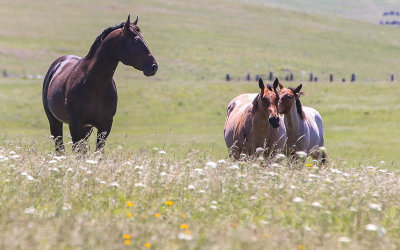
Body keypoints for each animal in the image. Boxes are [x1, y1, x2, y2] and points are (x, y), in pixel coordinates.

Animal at [42, 16, 157, 152]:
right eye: (135, 40)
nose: (154, 67)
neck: (93, 83)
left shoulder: (105, 124)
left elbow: (98, 151)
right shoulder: (75, 123)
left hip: (87, 128)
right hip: (54, 121)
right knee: (60, 147)